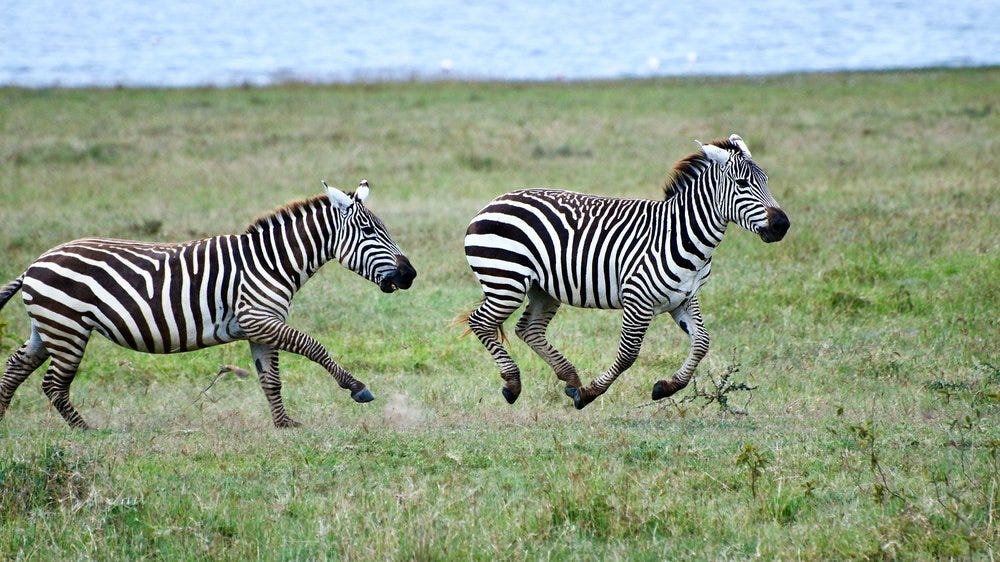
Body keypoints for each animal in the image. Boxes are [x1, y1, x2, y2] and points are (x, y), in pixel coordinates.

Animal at [0, 180, 416, 429]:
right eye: (368, 231)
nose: (410, 275)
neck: (272, 261)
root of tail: (34, 264)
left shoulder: (259, 328)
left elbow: (271, 380)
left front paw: (284, 425)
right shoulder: (259, 318)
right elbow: (314, 346)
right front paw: (356, 387)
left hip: (49, 328)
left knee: (16, 368)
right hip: (68, 328)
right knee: (53, 385)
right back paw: (87, 432)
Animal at [461, 134, 789, 409]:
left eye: (766, 180)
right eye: (742, 183)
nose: (781, 225)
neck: (681, 235)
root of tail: (494, 201)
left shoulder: (684, 298)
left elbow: (702, 343)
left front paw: (667, 386)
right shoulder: (637, 300)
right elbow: (628, 353)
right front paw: (589, 394)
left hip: (542, 289)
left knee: (528, 329)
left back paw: (570, 377)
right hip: (506, 281)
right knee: (481, 322)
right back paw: (513, 383)